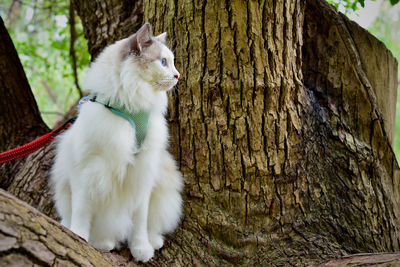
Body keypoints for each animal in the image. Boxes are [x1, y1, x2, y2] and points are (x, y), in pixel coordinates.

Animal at [48, 23, 184, 264]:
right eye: (163, 62)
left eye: (172, 62)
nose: (177, 75)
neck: (129, 106)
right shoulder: (88, 171)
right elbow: (82, 213)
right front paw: (79, 237)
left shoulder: (143, 175)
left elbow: (139, 222)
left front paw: (141, 249)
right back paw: (102, 242)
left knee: (151, 225)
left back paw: (152, 241)